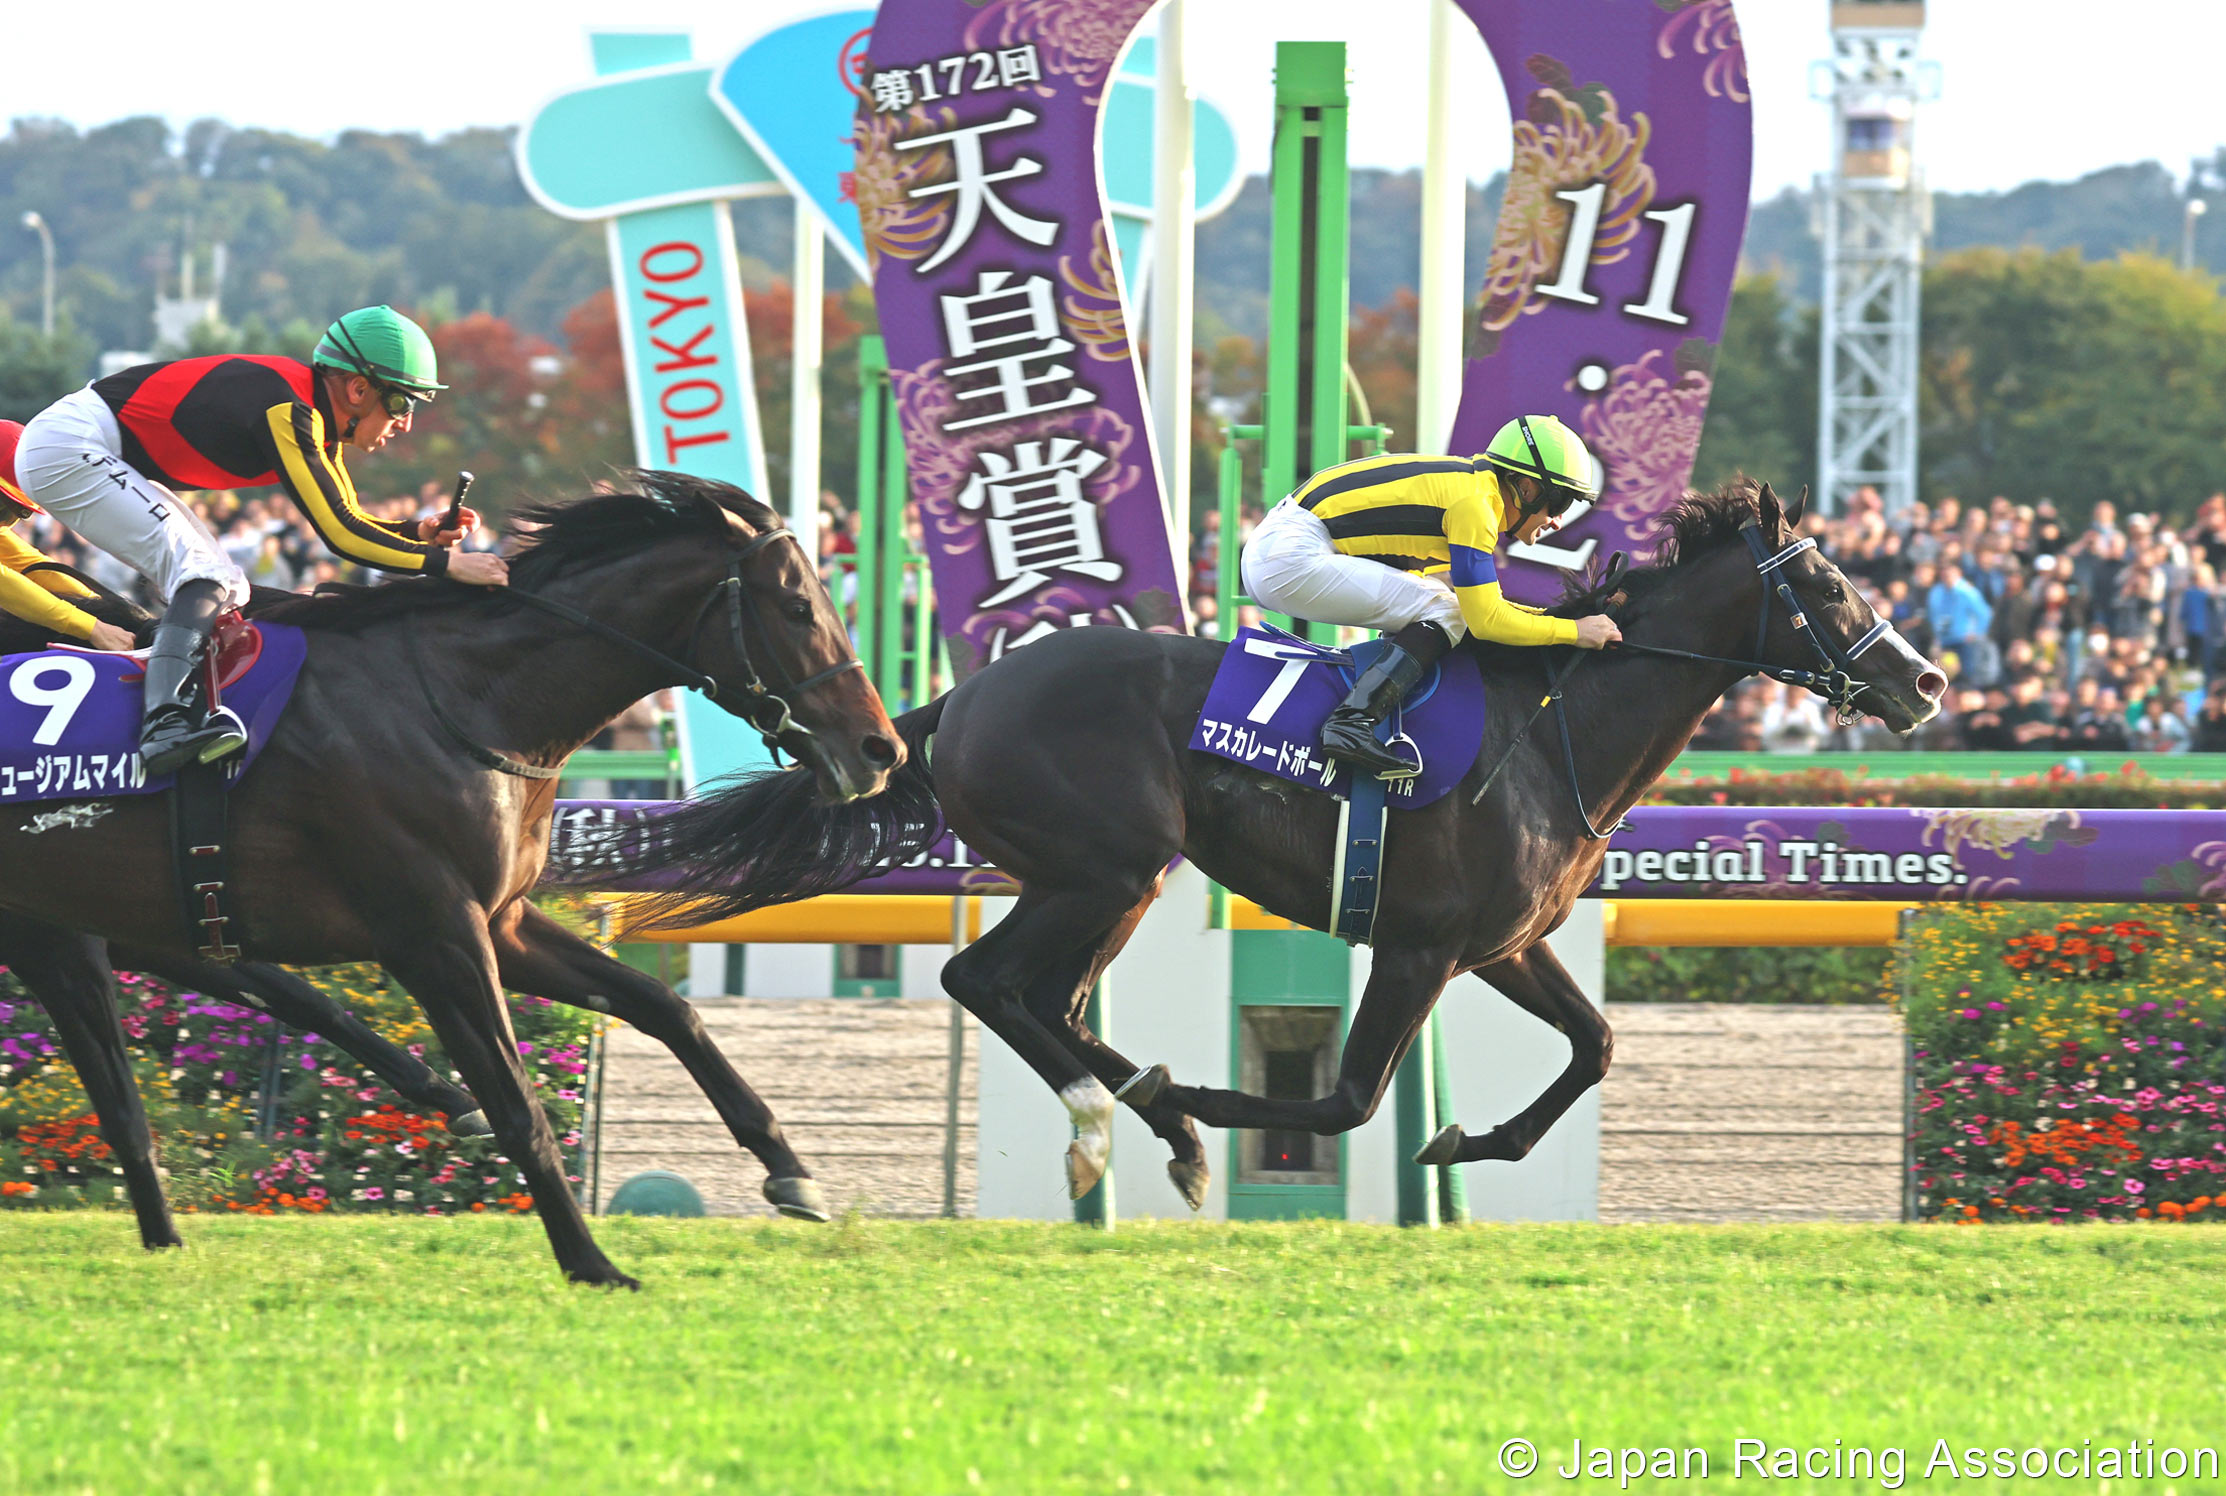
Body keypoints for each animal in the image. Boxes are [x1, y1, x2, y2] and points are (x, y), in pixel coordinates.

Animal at [0, 472, 900, 1287]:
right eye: (796, 606)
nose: (880, 749)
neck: (466, 701)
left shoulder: (501, 920)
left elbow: (663, 1005)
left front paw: (791, 1171)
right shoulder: (433, 933)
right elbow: (517, 1102)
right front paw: (592, 1264)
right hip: (62, 929)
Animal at [619, 480, 1945, 1206]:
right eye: (1831, 586)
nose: (1927, 681)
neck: (1553, 725)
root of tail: (964, 696)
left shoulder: (1504, 945)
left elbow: (1598, 1045)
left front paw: (1471, 1136)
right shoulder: (1420, 946)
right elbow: (1348, 1100)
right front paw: (1213, 1098)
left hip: (1112, 881)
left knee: (1043, 998)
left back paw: (1137, 1118)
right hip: (1106, 865)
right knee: (986, 980)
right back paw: (1133, 1115)